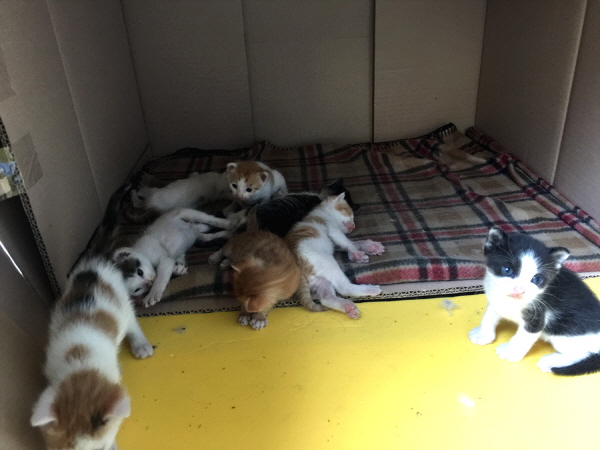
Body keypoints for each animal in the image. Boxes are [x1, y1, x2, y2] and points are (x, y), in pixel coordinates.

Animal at [31, 188, 154, 450]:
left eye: (102, 447)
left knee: (132, 321)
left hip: (121, 300)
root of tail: (95, 260)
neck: (79, 359)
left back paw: (140, 345)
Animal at [469, 226, 600, 376]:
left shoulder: (537, 316)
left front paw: (510, 352)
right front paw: (483, 334)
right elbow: (489, 316)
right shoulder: (495, 299)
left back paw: (551, 361)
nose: (519, 290)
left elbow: (522, 337)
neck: (511, 302)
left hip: (565, 331)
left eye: (536, 279)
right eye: (507, 270)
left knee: (582, 353)